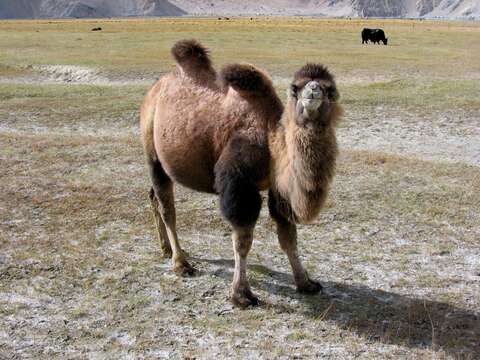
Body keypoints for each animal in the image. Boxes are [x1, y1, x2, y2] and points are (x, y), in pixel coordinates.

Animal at [139, 40, 342, 310]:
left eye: (330, 90)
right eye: (295, 88)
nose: (313, 90)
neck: (271, 141)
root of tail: (154, 90)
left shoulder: (279, 189)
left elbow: (288, 236)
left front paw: (306, 283)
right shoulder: (239, 185)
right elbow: (243, 241)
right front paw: (242, 295)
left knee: (153, 196)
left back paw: (165, 249)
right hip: (152, 150)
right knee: (167, 208)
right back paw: (181, 263)